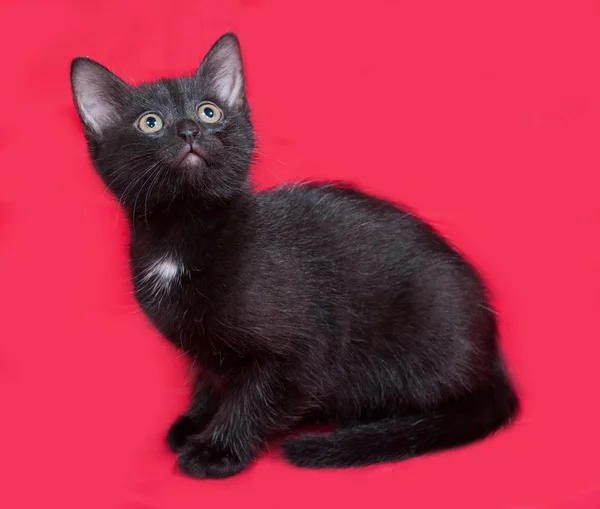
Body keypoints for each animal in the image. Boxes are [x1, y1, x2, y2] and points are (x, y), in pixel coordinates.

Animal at [70, 33, 516, 478]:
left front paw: (217, 448)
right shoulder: (203, 347)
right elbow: (208, 379)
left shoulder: (304, 348)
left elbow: (254, 397)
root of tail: (493, 356)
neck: (181, 234)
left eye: (209, 111)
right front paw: (196, 420)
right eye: (150, 123)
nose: (189, 129)